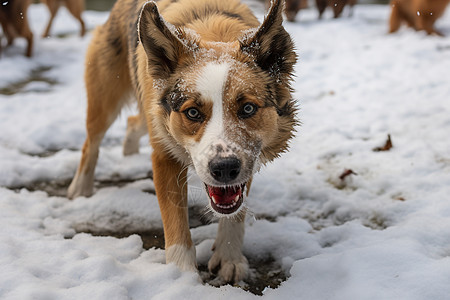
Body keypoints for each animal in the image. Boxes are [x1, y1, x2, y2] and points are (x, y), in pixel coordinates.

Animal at [68, 0, 298, 284]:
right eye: (193, 113)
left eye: (247, 108)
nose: (224, 168)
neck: (214, 36)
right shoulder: (164, 155)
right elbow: (175, 222)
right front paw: (182, 277)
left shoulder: (248, 159)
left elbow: (237, 212)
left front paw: (229, 258)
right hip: (106, 103)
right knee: (91, 143)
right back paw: (80, 189)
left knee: (133, 122)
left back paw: (129, 154)